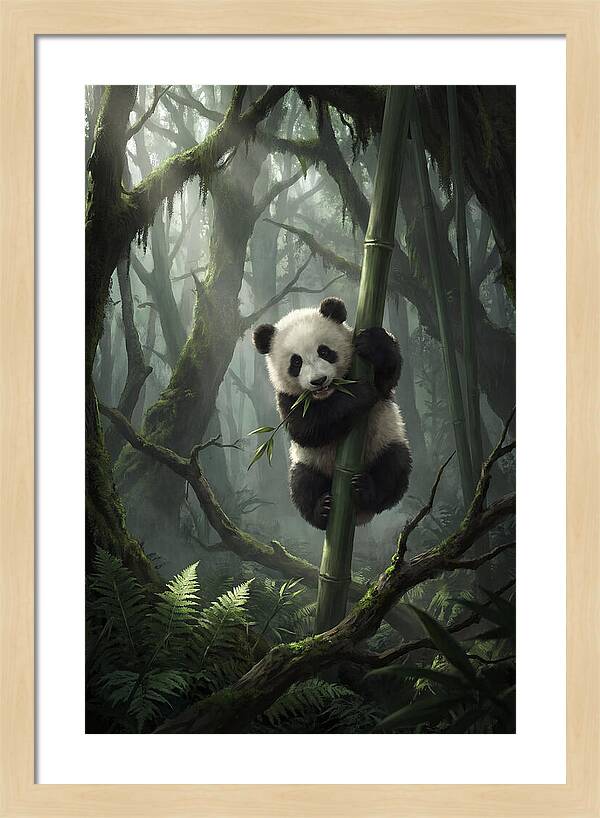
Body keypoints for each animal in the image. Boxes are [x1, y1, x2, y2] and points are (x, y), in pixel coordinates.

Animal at [252, 297, 412, 530]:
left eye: (324, 351)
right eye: (296, 362)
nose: (318, 381)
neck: (329, 394)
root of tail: (359, 516)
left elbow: (387, 377)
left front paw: (373, 343)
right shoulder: (287, 398)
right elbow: (307, 428)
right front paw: (360, 392)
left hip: (385, 441)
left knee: (393, 466)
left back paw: (366, 490)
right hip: (309, 462)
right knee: (302, 484)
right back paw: (323, 510)